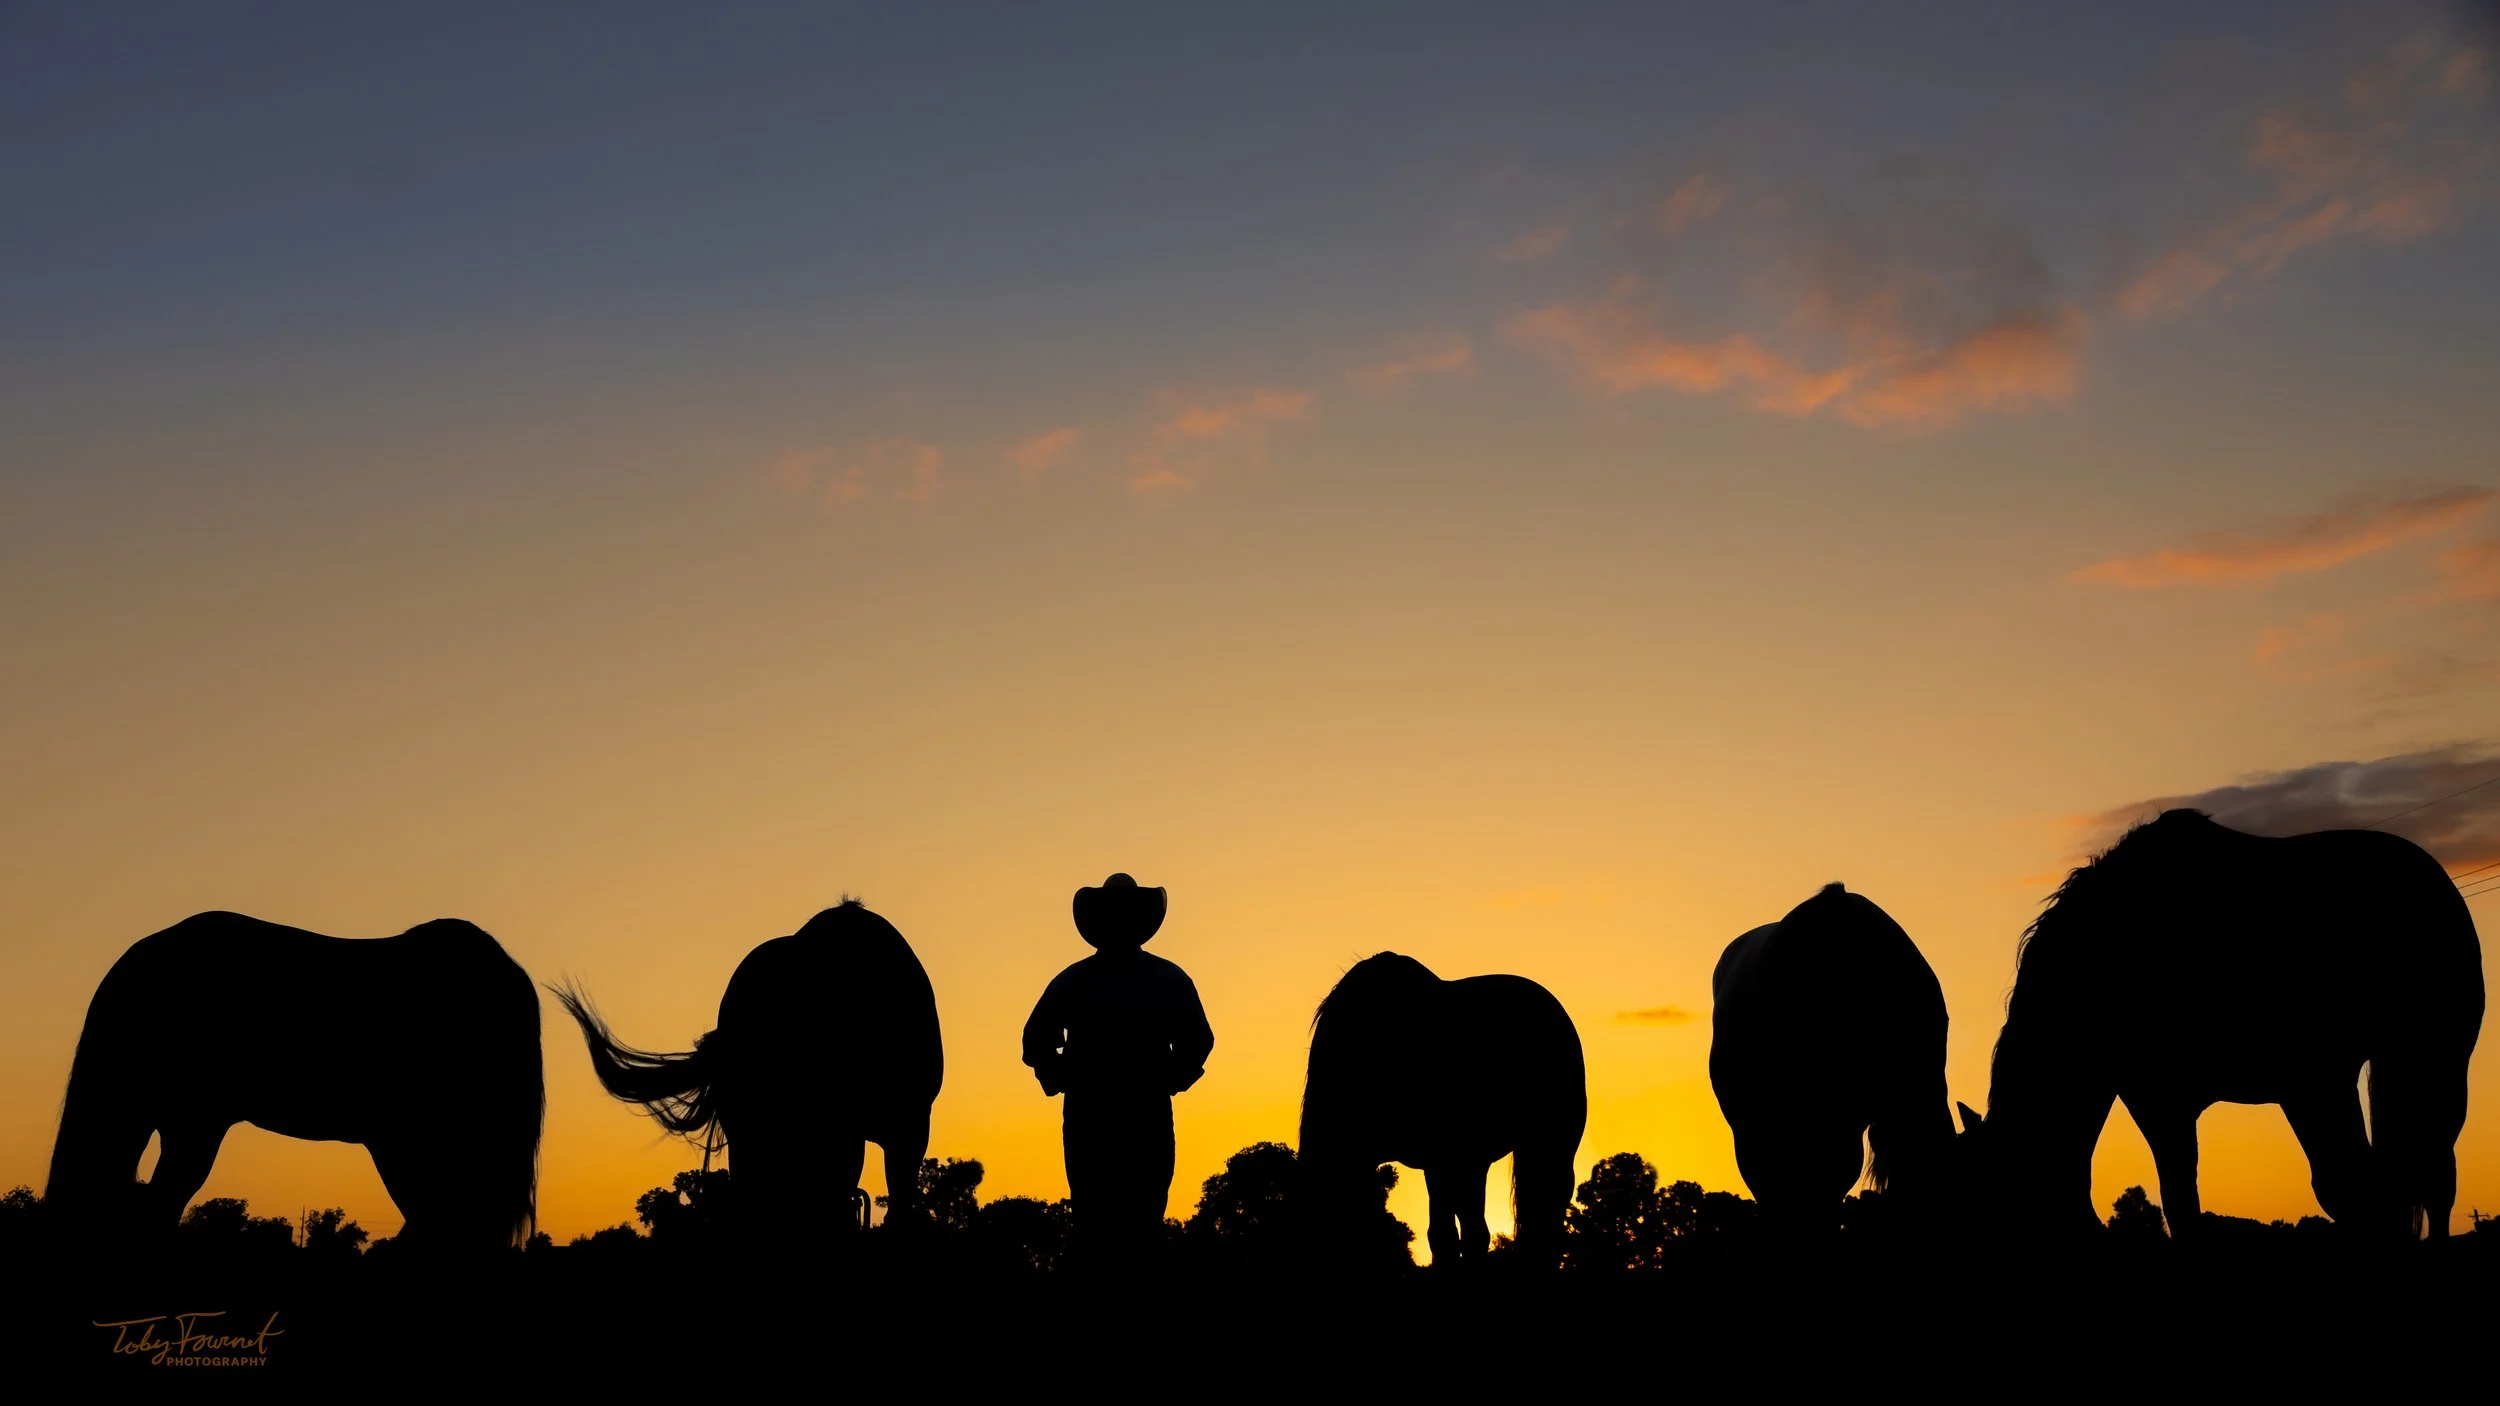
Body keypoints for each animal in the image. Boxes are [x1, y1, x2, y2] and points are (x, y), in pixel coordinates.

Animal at [1969, 809, 2483, 1242]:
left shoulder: (2312, 1081)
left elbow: (2348, 1188)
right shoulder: (2157, 1099)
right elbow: (2180, 1202)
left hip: (2432, 1064)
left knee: (2430, 1179)